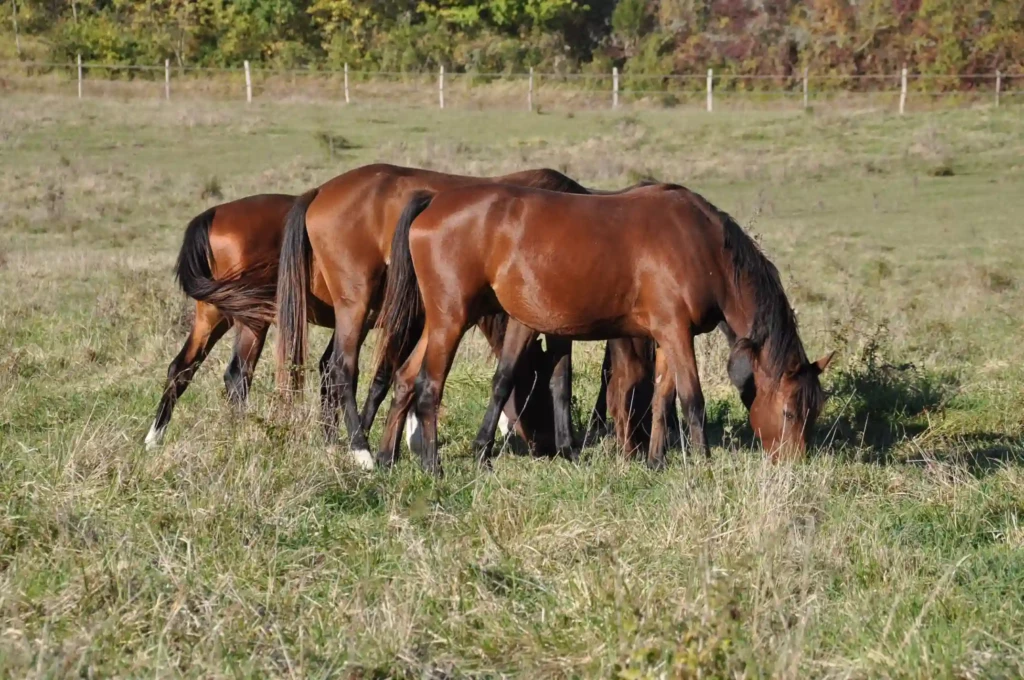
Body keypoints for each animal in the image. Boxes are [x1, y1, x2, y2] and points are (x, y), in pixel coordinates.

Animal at [275, 164, 677, 467]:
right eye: (638, 396)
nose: (638, 449)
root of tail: (320, 192)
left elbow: (556, 377)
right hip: (357, 304)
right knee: (343, 368)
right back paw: (360, 448)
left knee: (330, 368)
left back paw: (335, 440)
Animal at [372, 183, 834, 475]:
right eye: (790, 411)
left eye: (815, 412)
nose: (795, 465)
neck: (703, 246)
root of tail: (434, 201)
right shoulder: (677, 333)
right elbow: (692, 400)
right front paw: (703, 464)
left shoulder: (666, 337)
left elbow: (662, 398)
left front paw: (656, 461)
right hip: (451, 319)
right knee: (428, 385)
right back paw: (432, 465)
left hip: (440, 322)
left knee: (405, 377)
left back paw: (386, 457)